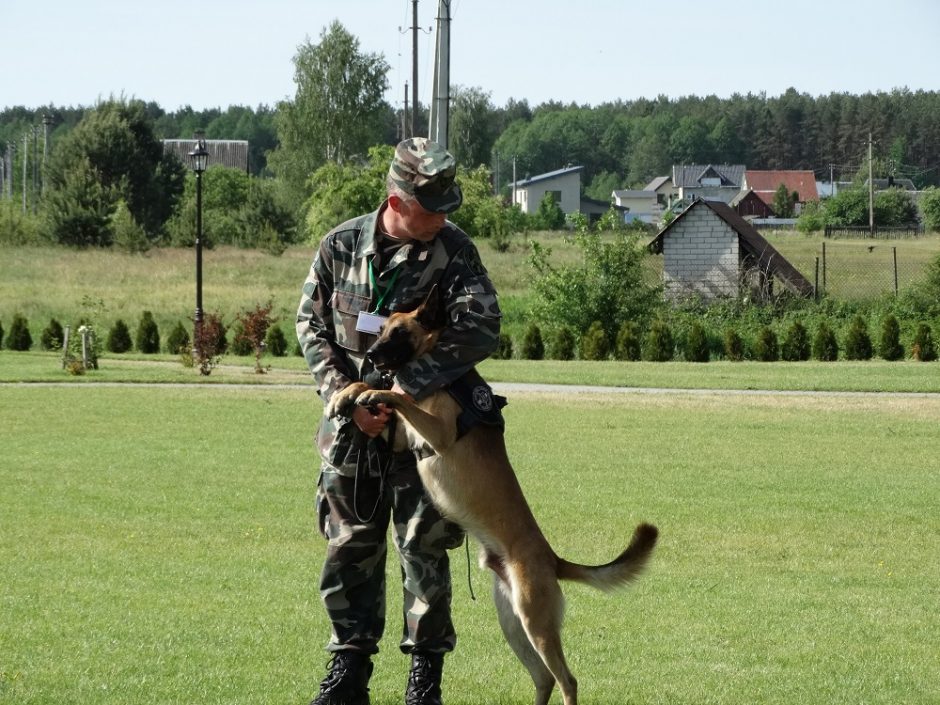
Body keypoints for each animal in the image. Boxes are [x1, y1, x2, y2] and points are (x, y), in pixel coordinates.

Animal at [326, 288, 656, 704]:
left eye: (399, 332)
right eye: (382, 329)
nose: (369, 356)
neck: (443, 381)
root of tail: (553, 560)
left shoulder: (438, 433)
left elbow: (397, 396)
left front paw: (372, 390)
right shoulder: (401, 438)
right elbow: (386, 401)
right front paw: (347, 394)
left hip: (536, 623)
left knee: (567, 680)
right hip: (513, 623)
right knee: (544, 678)